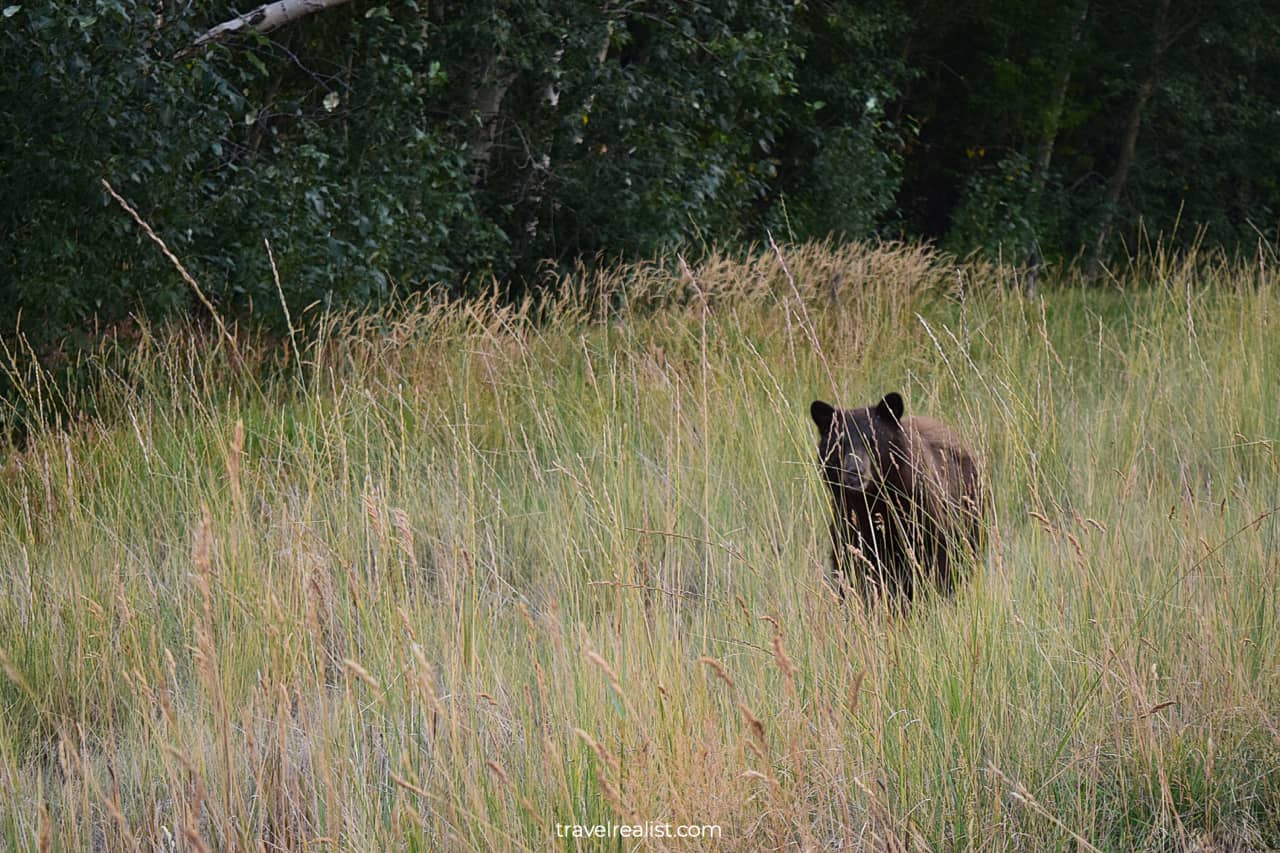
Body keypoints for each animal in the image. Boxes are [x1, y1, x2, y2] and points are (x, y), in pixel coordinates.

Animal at [814, 391, 983, 604]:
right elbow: (853, 569)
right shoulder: (849, 523)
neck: (874, 500)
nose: (854, 472)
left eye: (872, 440)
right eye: (840, 443)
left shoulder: (920, 513)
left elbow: (937, 563)